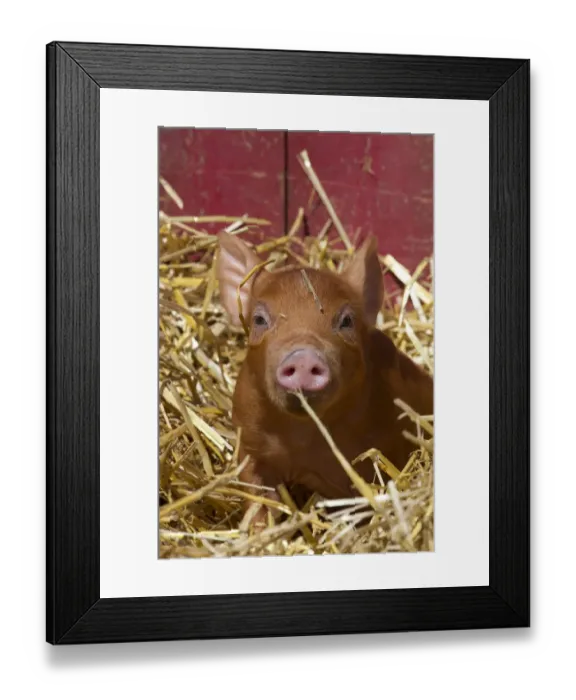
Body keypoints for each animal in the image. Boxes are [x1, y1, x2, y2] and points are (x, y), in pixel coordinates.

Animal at [216, 231, 433, 523]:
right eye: (259, 319)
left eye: (346, 321)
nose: (303, 356)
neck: (299, 439)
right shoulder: (250, 448)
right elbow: (259, 502)